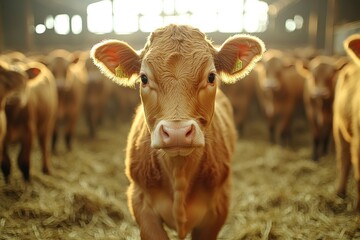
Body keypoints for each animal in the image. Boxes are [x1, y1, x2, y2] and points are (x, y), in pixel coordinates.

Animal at [90, 24, 264, 240]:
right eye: (144, 78)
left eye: (211, 76)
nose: (177, 132)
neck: (179, 171)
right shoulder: (140, 202)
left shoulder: (218, 207)